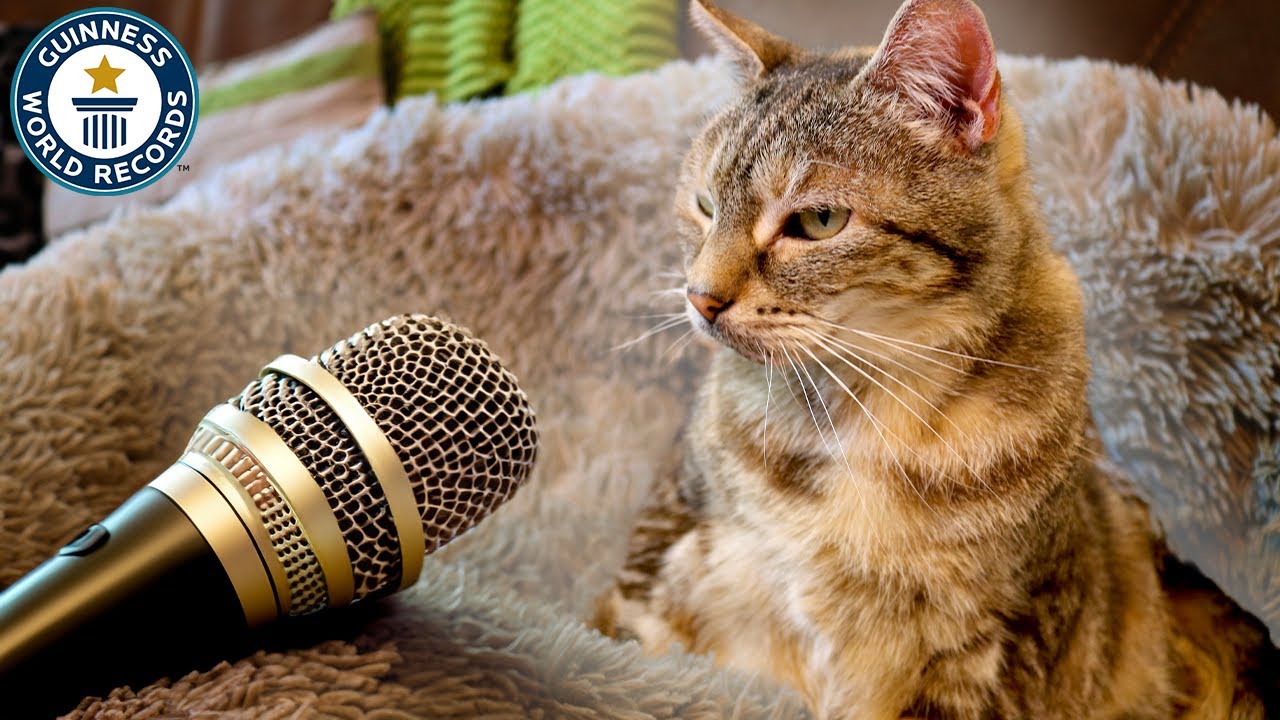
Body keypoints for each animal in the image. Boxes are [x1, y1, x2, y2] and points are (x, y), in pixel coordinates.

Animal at [593, 1, 1274, 717]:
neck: (863, 408)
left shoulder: (996, 646)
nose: (700, 298)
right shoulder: (659, 557)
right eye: (704, 205)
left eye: (818, 221)